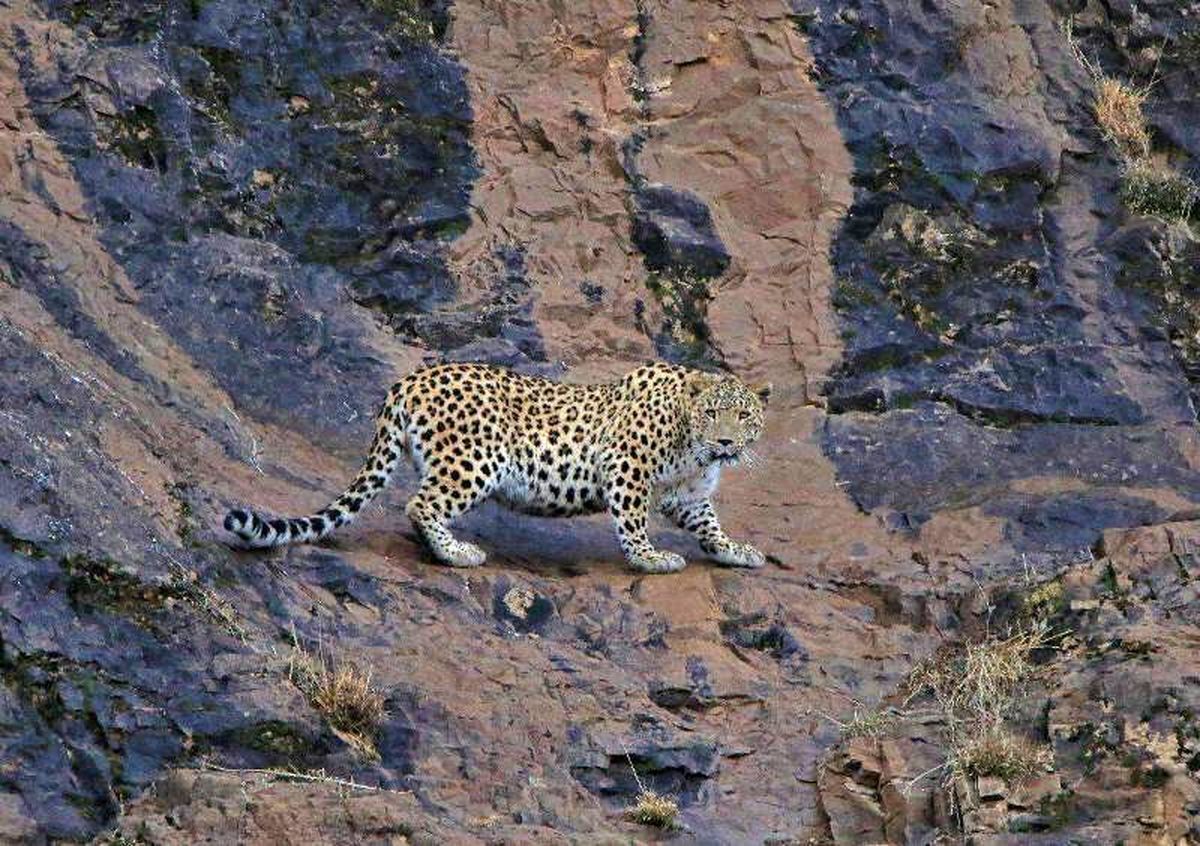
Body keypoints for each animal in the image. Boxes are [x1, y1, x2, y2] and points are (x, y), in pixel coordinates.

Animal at [223, 360, 768, 571]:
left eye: (743, 416)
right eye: (713, 413)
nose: (725, 441)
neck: (693, 447)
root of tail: (409, 381)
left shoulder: (689, 495)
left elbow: (709, 524)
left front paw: (734, 550)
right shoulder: (626, 464)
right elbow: (633, 521)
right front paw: (650, 558)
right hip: (474, 461)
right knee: (420, 504)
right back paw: (456, 553)